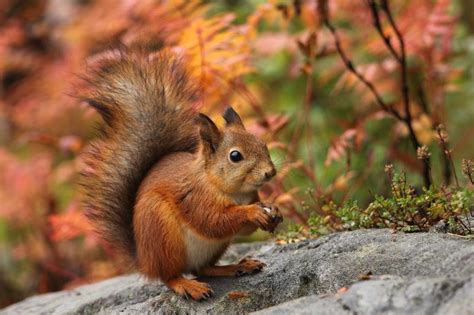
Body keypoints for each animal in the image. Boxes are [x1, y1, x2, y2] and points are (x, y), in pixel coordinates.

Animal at [78, 48, 282, 302]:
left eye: (262, 143)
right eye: (235, 156)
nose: (270, 172)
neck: (233, 192)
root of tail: (145, 261)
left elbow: (242, 229)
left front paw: (273, 209)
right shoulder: (195, 199)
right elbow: (213, 222)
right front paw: (253, 212)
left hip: (213, 247)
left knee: (203, 268)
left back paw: (236, 266)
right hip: (163, 235)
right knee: (170, 276)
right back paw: (188, 286)